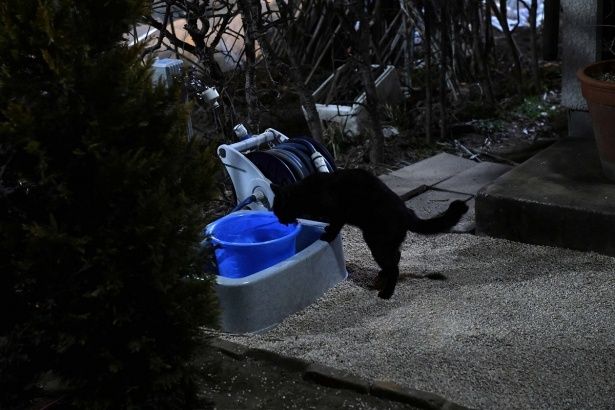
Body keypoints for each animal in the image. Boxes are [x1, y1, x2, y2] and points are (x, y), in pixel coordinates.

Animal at [272, 168, 470, 300]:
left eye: (277, 209)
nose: (278, 219)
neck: (306, 194)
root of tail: (407, 212)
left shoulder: (339, 212)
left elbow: (335, 225)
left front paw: (327, 236)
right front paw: (326, 230)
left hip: (376, 242)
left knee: (394, 267)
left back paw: (386, 293)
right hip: (383, 241)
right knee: (396, 257)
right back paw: (381, 276)